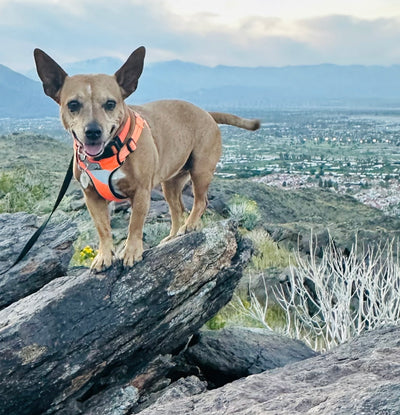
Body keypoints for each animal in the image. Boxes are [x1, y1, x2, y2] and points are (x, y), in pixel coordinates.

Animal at [33, 46, 260, 272]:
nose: (93, 131)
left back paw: (191, 225)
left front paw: (131, 252)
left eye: (110, 104)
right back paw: (171, 237)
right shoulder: (92, 197)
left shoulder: (141, 192)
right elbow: (103, 229)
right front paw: (104, 256)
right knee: (178, 210)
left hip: (201, 171)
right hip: (171, 183)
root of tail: (207, 113)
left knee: (201, 201)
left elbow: (135, 224)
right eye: (73, 104)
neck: (107, 153)